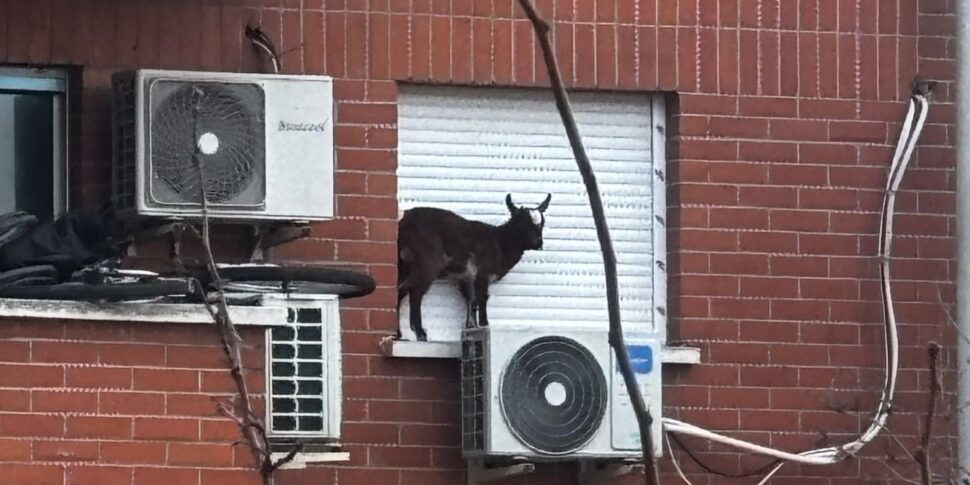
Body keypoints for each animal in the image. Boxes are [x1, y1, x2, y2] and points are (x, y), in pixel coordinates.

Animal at [394, 193, 544, 340]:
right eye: (524, 223)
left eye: (542, 223)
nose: (538, 243)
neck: (500, 242)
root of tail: (404, 221)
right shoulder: (482, 274)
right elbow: (482, 298)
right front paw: (484, 324)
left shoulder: (466, 278)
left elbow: (471, 301)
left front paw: (470, 328)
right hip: (427, 263)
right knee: (415, 292)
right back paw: (420, 333)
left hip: (403, 265)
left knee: (399, 290)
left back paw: (399, 334)